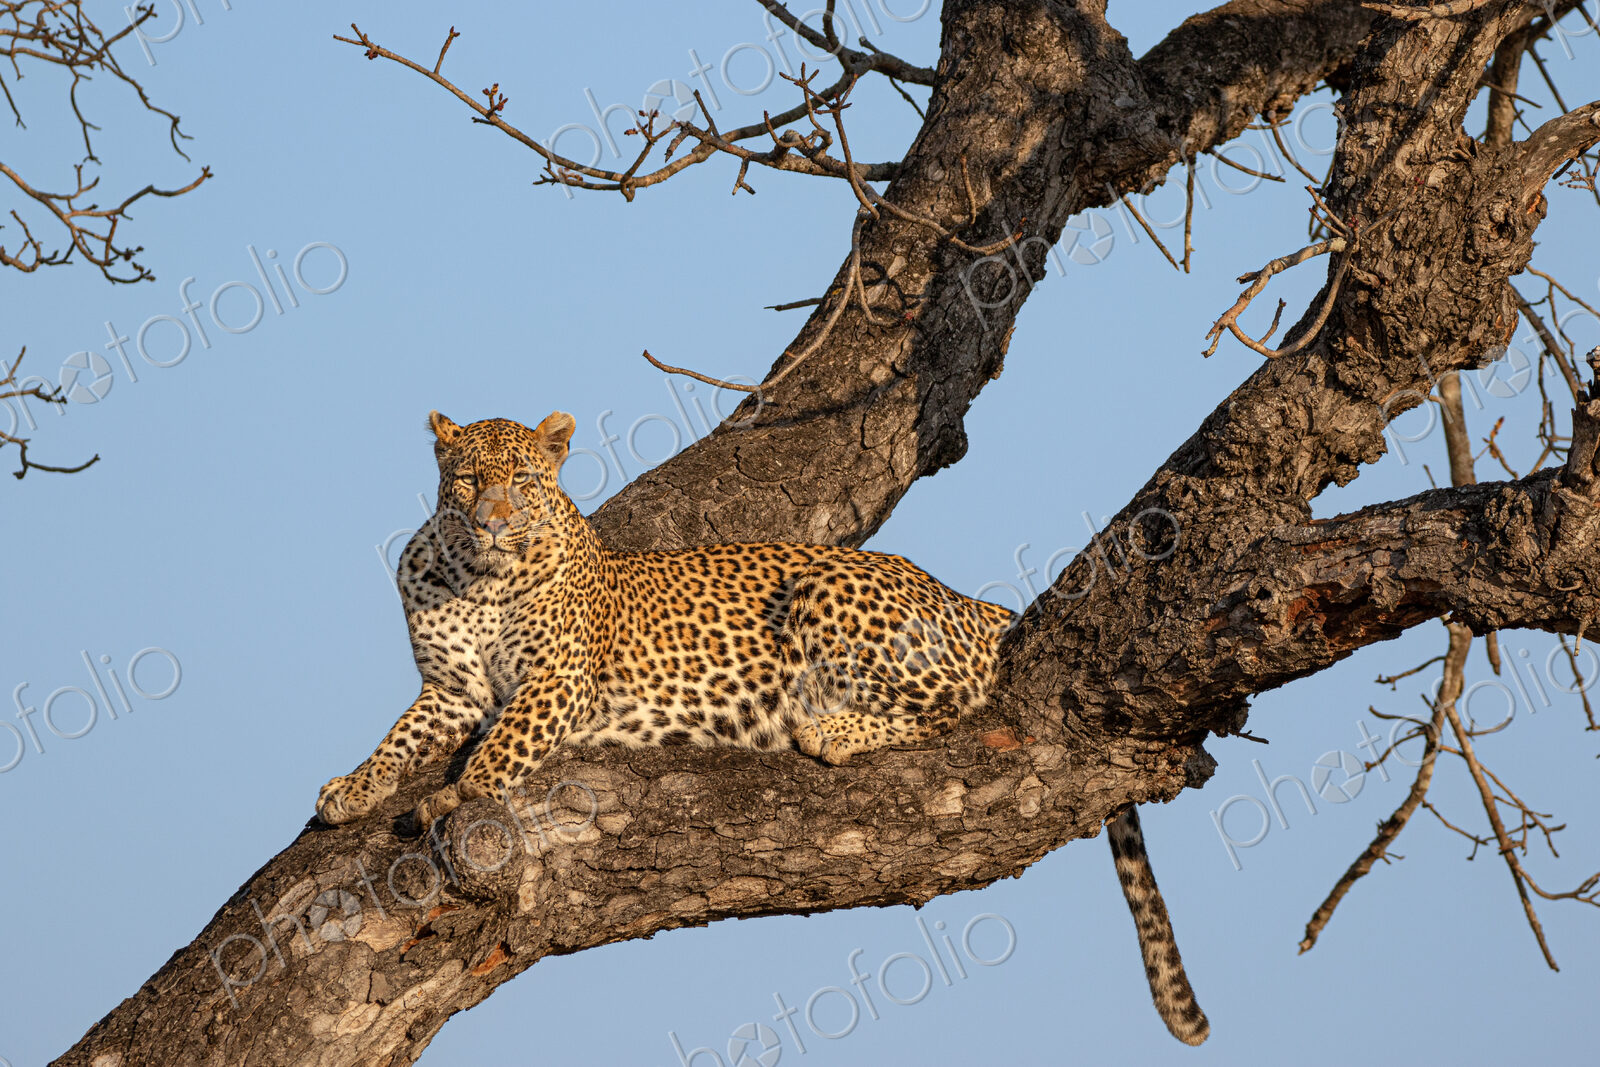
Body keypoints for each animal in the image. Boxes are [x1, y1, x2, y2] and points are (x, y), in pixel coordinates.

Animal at [314, 410, 1209, 1046]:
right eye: (468, 479)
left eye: (526, 481)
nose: (496, 518)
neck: (476, 572)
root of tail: (964, 597)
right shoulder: (450, 690)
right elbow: (397, 736)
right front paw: (348, 788)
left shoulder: (556, 681)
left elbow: (500, 746)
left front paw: (454, 794)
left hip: (829, 588)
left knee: (957, 701)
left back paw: (831, 730)